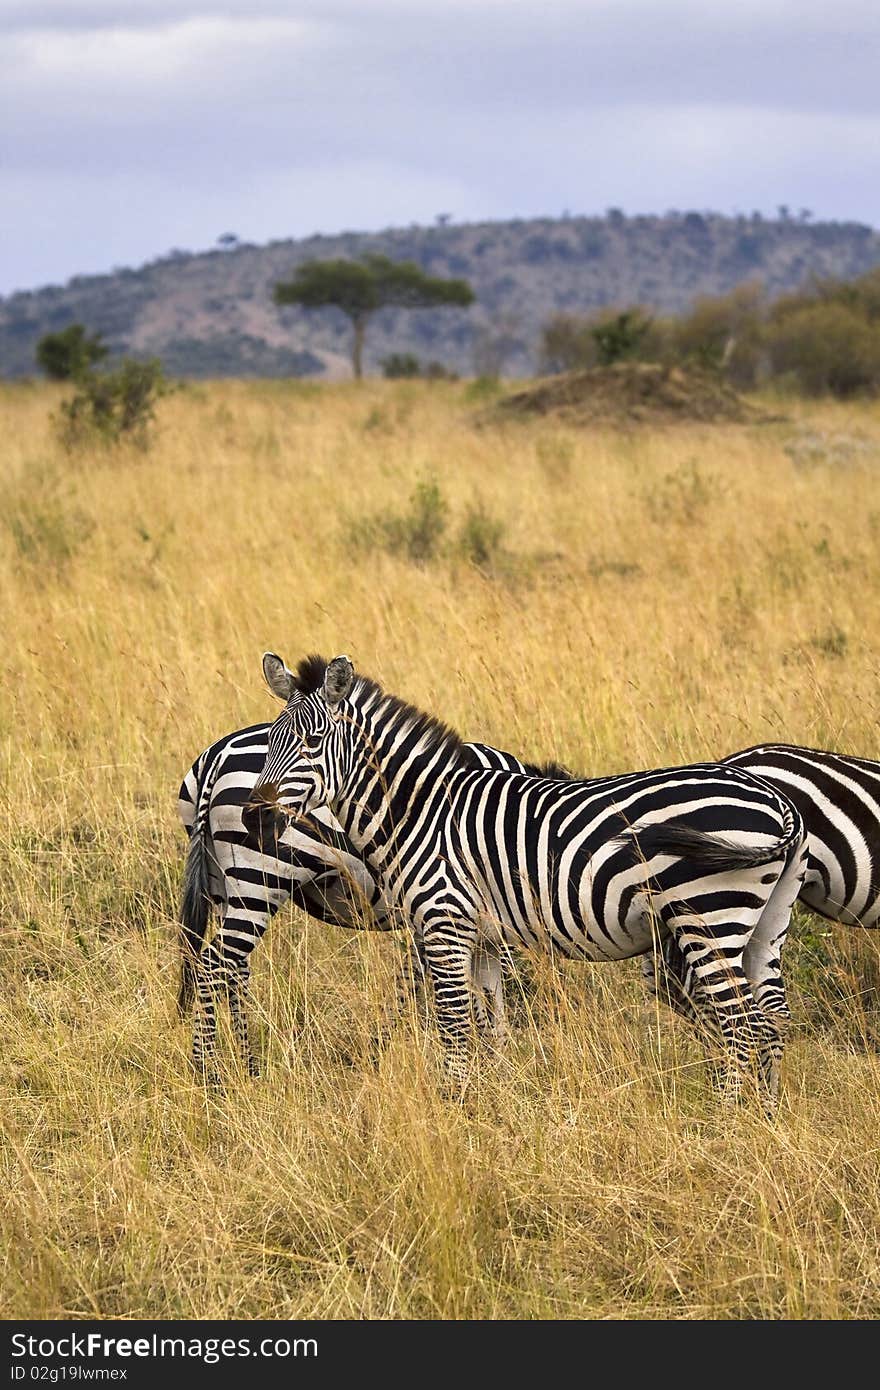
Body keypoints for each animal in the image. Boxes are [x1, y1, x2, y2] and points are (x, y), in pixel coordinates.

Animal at [176, 717, 561, 1073]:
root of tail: (217, 755)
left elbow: (426, 982)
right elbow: (451, 985)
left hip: (225, 884)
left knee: (234, 969)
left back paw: (248, 1066)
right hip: (261, 876)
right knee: (214, 965)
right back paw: (209, 1074)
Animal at [247, 650, 811, 1106]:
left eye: (313, 742)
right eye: (270, 741)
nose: (256, 817)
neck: (419, 811)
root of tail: (778, 801)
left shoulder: (443, 922)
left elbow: (454, 1024)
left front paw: (455, 1106)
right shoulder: (481, 935)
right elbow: (490, 1024)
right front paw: (492, 1102)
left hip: (709, 916)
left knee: (741, 1023)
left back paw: (727, 1118)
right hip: (765, 923)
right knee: (773, 1019)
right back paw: (765, 1118)